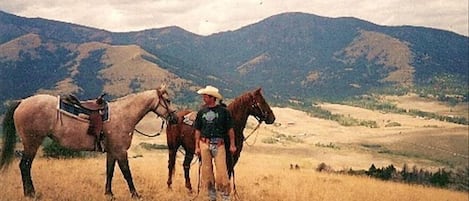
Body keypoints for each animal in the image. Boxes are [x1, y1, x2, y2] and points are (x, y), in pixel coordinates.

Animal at [0, 84, 176, 198]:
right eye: (167, 100)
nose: (174, 118)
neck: (123, 115)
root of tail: (22, 102)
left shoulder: (112, 151)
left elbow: (110, 172)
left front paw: (109, 193)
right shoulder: (120, 151)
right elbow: (127, 173)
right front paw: (135, 194)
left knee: (25, 166)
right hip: (32, 143)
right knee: (25, 166)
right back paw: (31, 194)